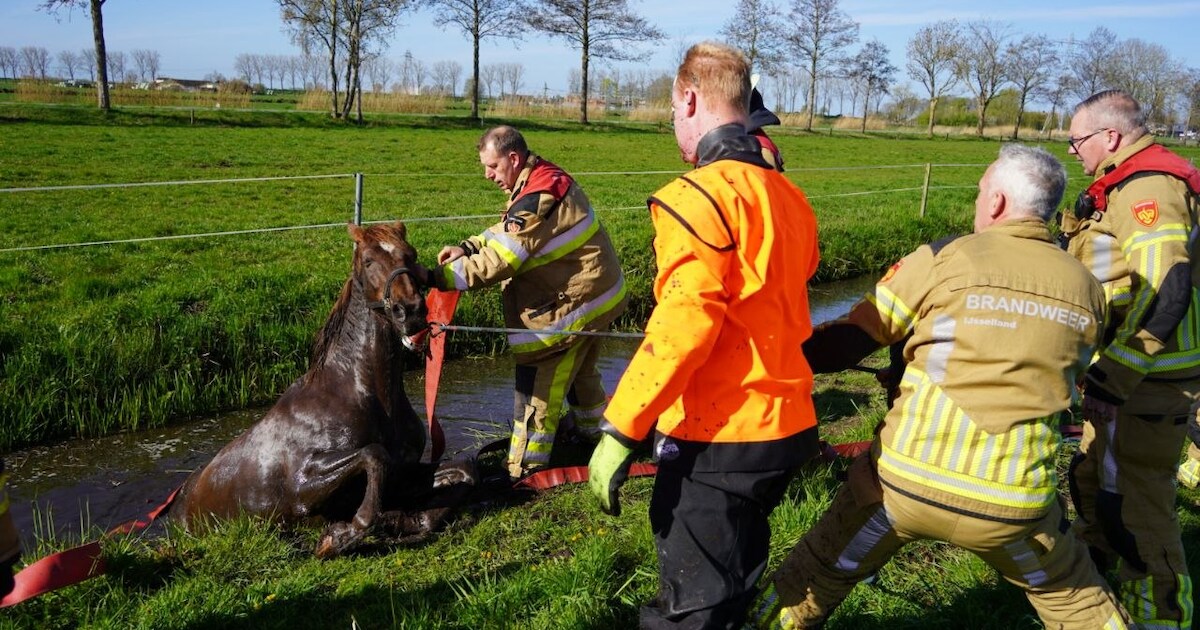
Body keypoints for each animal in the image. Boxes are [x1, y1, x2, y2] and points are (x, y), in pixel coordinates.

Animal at [169, 221, 472, 557]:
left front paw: (402, 521)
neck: (361, 392)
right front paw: (343, 533)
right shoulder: (303, 487)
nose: (412, 311)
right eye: (368, 260)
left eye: (412, 254)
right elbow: (373, 455)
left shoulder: (402, 474)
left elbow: (464, 472)